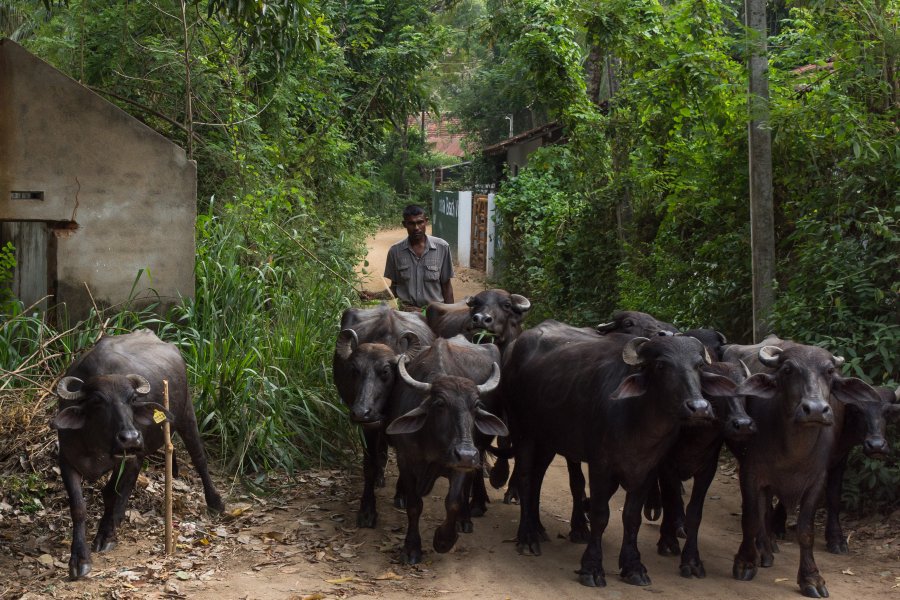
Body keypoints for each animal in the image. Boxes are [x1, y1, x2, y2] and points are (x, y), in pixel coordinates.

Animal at [51, 330, 223, 580]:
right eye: (97, 400)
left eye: (132, 399)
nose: (131, 438)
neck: (97, 443)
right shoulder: (66, 460)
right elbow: (79, 507)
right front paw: (79, 559)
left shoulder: (132, 458)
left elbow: (115, 492)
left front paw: (106, 535)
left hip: (186, 413)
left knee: (199, 457)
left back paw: (216, 502)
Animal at [332, 308, 434, 528]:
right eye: (354, 370)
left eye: (385, 371)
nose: (361, 411)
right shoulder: (368, 427)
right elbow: (369, 466)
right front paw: (367, 511)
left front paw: (402, 494)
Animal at [388, 340, 510, 564]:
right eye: (440, 403)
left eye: (476, 405)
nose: (467, 454)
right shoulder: (405, 460)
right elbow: (414, 505)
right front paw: (411, 548)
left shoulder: (460, 466)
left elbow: (453, 501)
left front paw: (443, 540)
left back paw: (465, 519)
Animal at [502, 324, 736, 584]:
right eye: (661, 365)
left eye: (699, 365)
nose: (699, 407)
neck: (637, 421)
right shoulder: (600, 465)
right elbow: (600, 514)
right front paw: (592, 567)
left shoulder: (648, 469)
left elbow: (632, 517)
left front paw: (633, 566)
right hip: (522, 430)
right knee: (525, 477)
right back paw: (527, 537)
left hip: (548, 440)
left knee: (537, 478)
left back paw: (537, 528)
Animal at [728, 342, 884, 596]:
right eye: (788, 370)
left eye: (829, 371)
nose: (816, 410)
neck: (792, 449)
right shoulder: (750, 473)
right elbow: (750, 518)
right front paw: (745, 562)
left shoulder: (816, 481)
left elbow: (806, 530)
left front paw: (811, 578)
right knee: (761, 511)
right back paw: (764, 549)